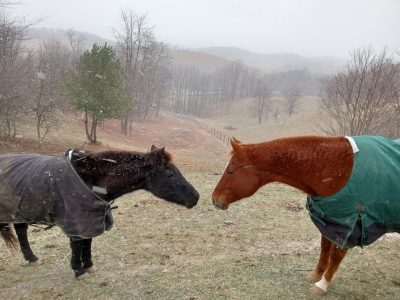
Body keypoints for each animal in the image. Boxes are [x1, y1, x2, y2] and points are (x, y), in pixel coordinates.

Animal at [0, 145, 199, 276]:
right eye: (170, 174)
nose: (195, 197)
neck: (88, 177)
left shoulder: (91, 217)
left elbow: (88, 241)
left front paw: (88, 265)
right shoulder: (76, 220)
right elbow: (77, 243)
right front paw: (78, 269)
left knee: (21, 231)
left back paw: (31, 257)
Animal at [214, 135, 400, 296]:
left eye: (230, 171)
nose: (214, 199)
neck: (333, 167)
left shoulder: (351, 223)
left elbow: (336, 255)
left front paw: (322, 284)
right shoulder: (330, 219)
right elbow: (324, 247)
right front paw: (316, 274)